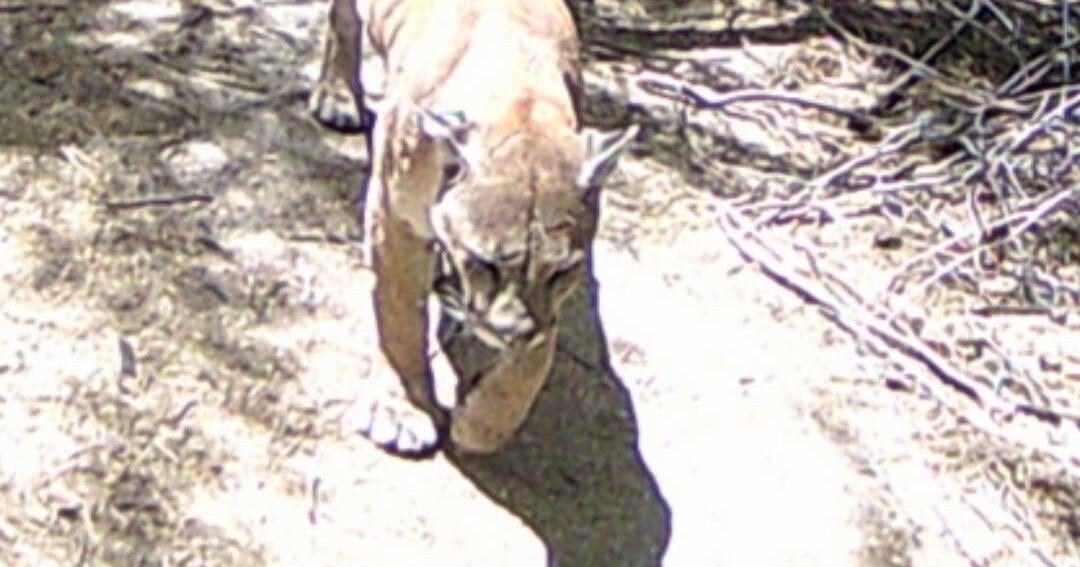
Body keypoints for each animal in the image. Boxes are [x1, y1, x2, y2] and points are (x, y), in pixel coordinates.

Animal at [309, 0, 637, 456]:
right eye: (485, 263)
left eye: (560, 273)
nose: (511, 333)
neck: (521, 100)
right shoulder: (394, 216)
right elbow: (399, 314)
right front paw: (401, 410)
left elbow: (537, 355)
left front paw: (484, 421)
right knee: (342, 17)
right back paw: (337, 95)